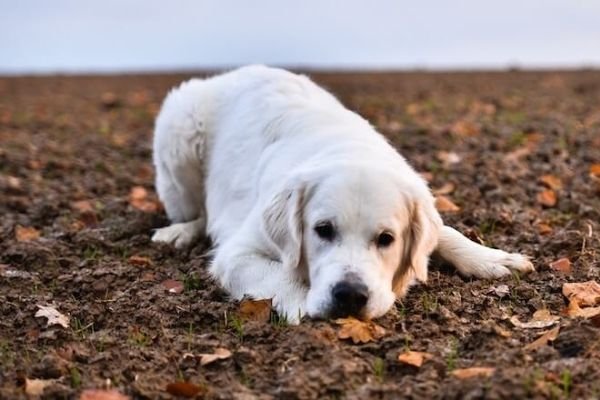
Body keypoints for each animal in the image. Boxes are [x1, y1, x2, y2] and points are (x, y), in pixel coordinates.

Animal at [151, 65, 536, 322]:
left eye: (386, 239)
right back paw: (178, 233)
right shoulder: (237, 254)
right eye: (322, 230)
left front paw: (491, 257)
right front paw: (303, 305)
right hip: (179, 133)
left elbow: (445, 232)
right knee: (197, 214)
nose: (350, 295)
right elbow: (280, 274)